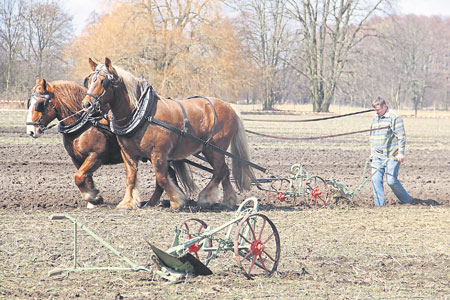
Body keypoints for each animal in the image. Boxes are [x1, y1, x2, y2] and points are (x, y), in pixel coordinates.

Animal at [26, 78, 192, 209]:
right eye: (29, 103)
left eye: (40, 104)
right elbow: (85, 178)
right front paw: (93, 200)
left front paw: (93, 197)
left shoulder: (96, 156)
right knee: (168, 174)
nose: (31, 131)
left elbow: (78, 177)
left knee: (164, 176)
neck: (86, 124)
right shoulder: (77, 159)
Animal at [82, 57, 255, 210]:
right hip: (212, 150)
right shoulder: (128, 154)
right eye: (90, 81)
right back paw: (228, 201)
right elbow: (131, 178)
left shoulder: (159, 153)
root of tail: (229, 106)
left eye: (103, 81)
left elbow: (162, 177)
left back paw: (206, 197)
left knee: (219, 171)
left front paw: (177, 201)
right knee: (224, 171)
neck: (143, 113)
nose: (86, 104)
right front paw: (128, 203)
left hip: (214, 149)